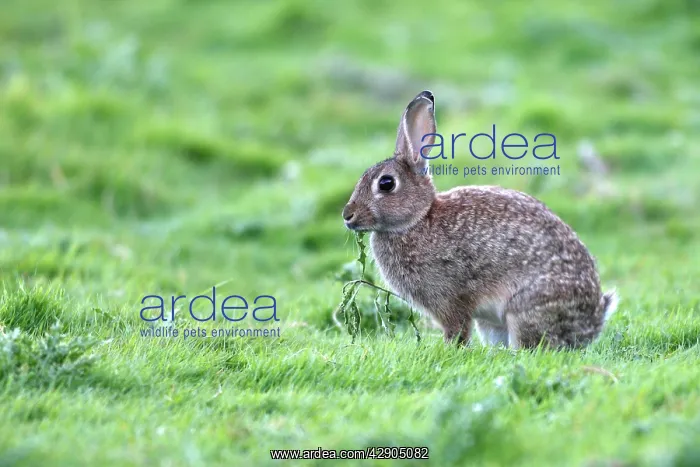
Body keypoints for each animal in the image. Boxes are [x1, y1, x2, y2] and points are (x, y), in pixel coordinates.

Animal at [341, 90, 618, 349]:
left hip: (525, 309)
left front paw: (449, 349)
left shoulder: (449, 299)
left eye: (386, 183)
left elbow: (457, 329)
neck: (417, 220)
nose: (347, 216)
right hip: (492, 326)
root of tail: (593, 321)